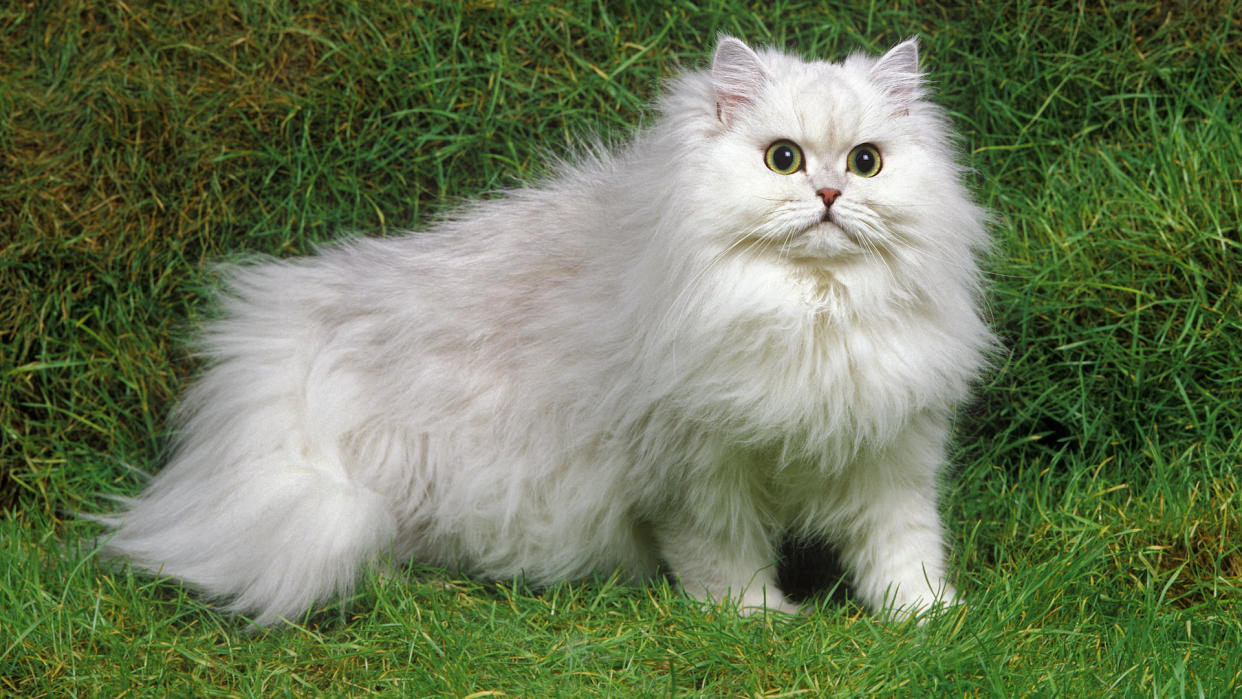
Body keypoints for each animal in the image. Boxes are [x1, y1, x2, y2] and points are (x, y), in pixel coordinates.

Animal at [96, 35, 993, 625]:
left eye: (867, 161)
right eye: (783, 159)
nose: (831, 196)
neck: (815, 308)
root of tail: (297, 331)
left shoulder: (893, 456)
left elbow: (903, 551)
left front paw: (929, 618)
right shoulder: (697, 476)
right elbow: (726, 559)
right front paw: (758, 618)